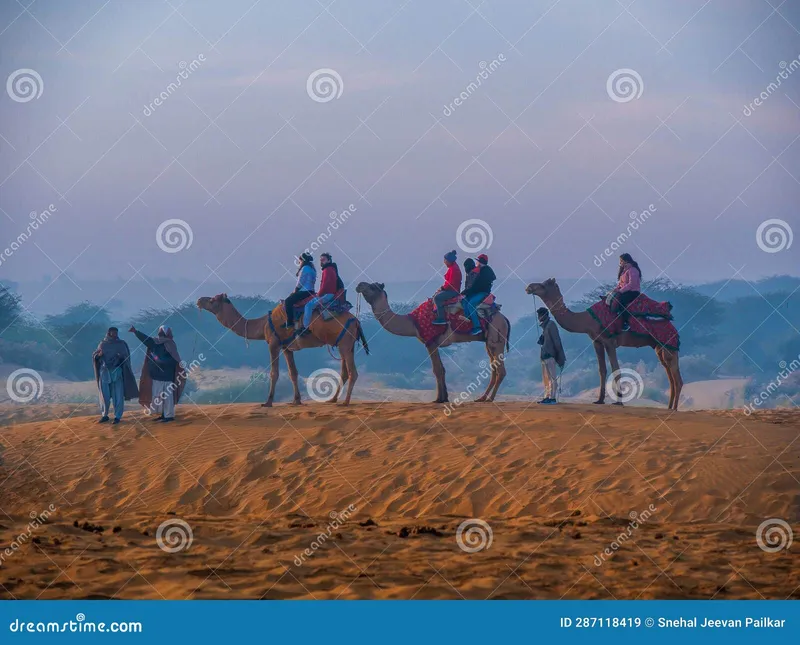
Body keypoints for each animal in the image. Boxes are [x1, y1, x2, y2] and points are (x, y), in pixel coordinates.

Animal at [197, 294, 368, 406]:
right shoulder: (287, 348)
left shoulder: (273, 344)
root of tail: (356, 321)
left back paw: (345, 402)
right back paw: (332, 399)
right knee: (345, 371)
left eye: (212, 300)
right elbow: (293, 373)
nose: (199, 300)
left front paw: (268, 402)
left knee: (353, 372)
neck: (263, 324)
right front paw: (296, 400)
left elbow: (274, 373)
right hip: (344, 344)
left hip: (345, 342)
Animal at [356, 282, 512, 402]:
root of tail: (504, 319)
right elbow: (442, 369)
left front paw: (438, 399)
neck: (412, 322)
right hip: (488, 342)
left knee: (501, 370)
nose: (359, 285)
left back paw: (490, 399)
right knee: (493, 367)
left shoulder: (430, 342)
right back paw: (482, 398)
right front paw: (444, 398)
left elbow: (437, 370)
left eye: (373, 287)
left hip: (496, 337)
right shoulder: (434, 343)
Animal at [524, 276, 680, 408]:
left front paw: (619, 402)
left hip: (669, 343)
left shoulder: (609, 341)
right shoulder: (597, 342)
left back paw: (674, 408)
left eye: (543, 285)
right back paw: (669, 407)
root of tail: (672, 325)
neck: (588, 320)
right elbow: (602, 370)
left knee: (676, 376)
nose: (529, 287)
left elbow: (616, 368)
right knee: (670, 374)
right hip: (659, 346)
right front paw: (599, 400)